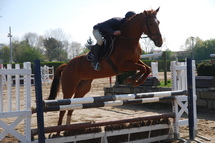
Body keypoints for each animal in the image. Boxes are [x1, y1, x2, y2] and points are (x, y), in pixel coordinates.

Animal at [46, 7, 161, 135]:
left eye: (159, 23)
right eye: (151, 24)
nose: (160, 42)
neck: (128, 41)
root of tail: (67, 65)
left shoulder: (135, 61)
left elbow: (147, 68)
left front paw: (134, 81)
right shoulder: (123, 65)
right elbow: (143, 68)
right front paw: (130, 80)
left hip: (82, 88)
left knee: (72, 107)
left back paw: (68, 130)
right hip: (69, 87)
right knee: (63, 108)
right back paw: (57, 133)